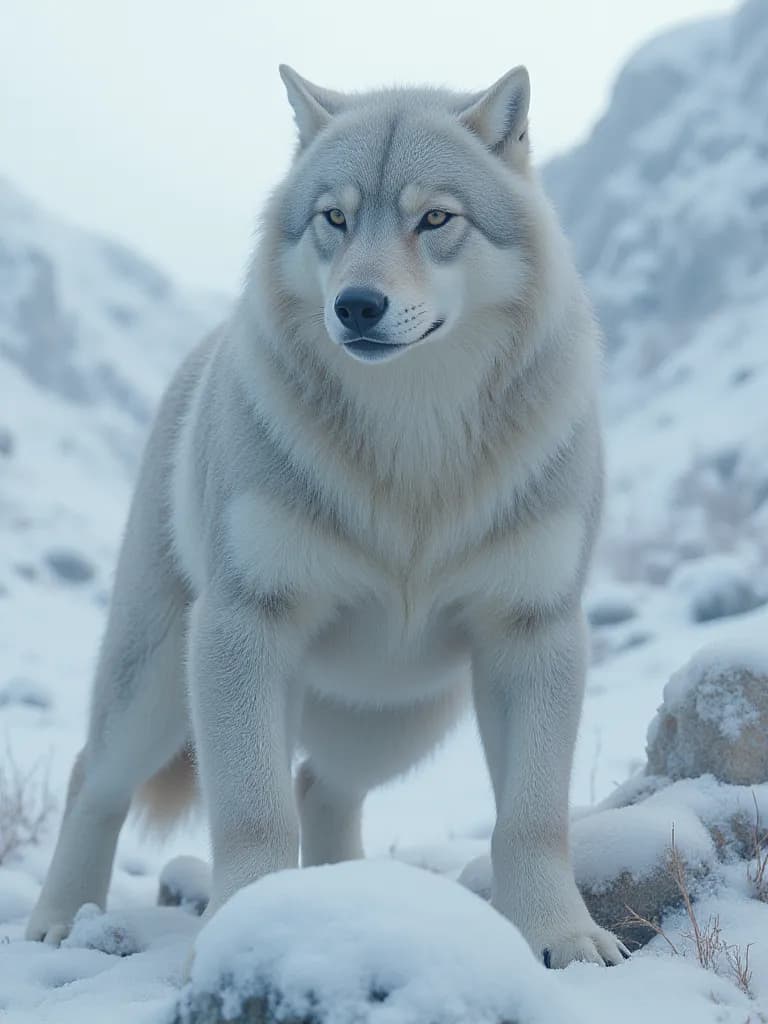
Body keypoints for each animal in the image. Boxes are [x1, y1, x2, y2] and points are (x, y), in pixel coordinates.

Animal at [27, 65, 628, 968]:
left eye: (435, 218)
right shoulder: (247, 624)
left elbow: (531, 820)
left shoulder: (534, 631)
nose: (357, 305)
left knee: (321, 785)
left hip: (404, 716)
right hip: (158, 687)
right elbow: (252, 816)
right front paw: (236, 926)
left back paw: (345, 906)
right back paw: (61, 920)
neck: (414, 446)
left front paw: (563, 937)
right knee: (91, 778)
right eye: (334, 218)